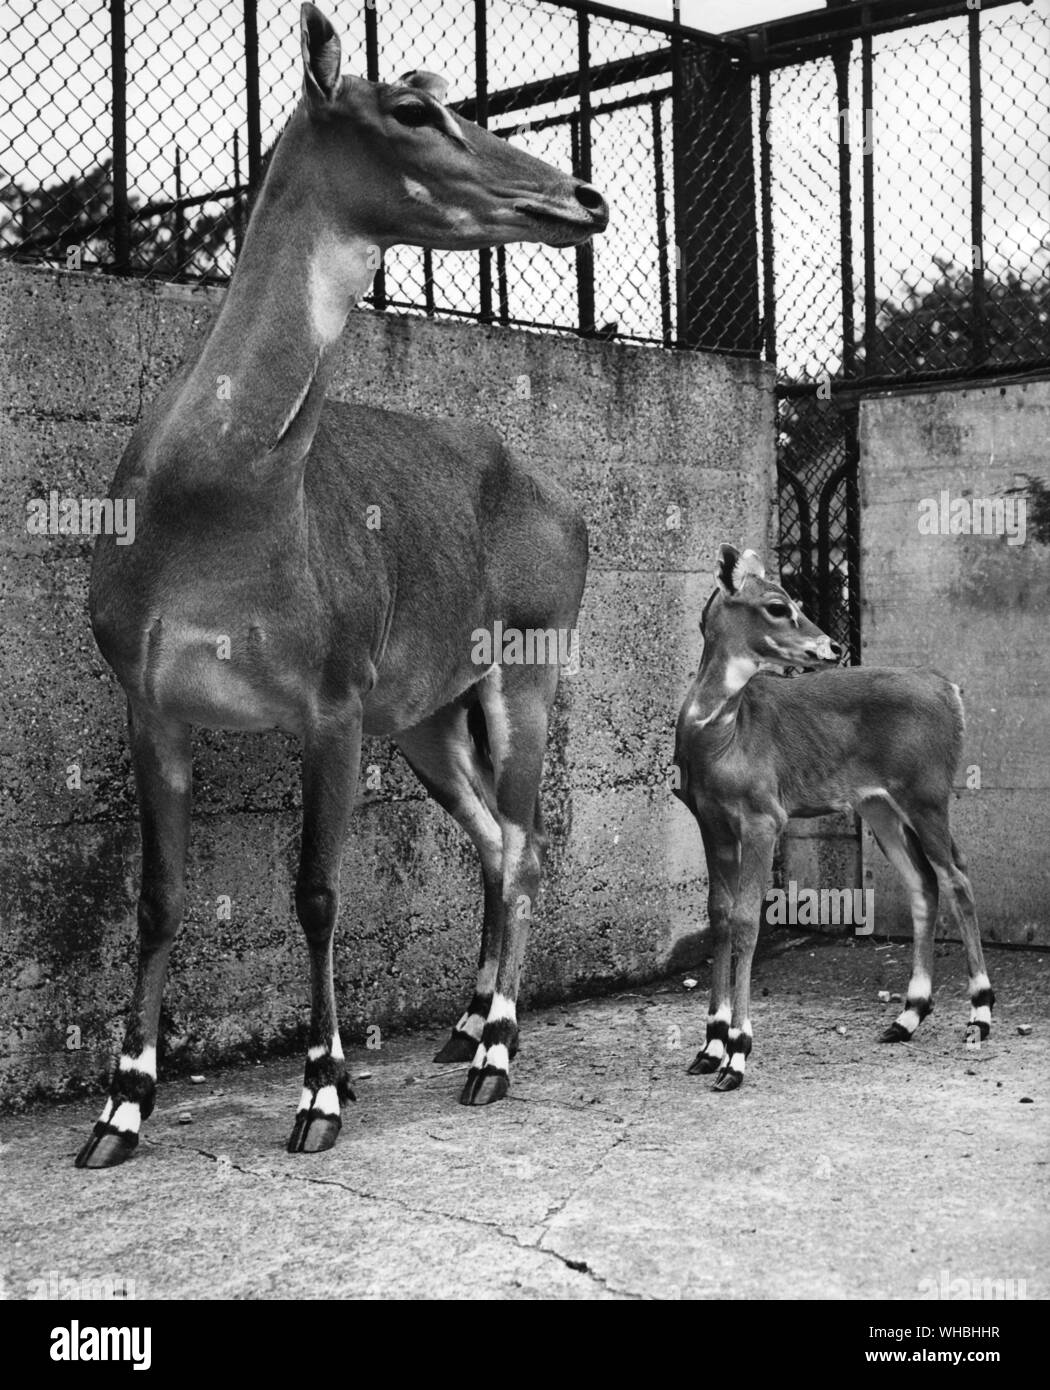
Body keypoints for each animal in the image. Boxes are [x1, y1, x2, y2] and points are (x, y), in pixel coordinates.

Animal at [76, 5, 609, 1167]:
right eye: (412, 108)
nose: (583, 199)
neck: (217, 494)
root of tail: (569, 503)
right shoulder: (154, 705)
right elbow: (160, 897)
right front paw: (120, 1107)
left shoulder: (330, 706)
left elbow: (317, 891)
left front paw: (321, 1089)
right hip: (425, 718)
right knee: (492, 842)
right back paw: (462, 1028)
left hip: (527, 675)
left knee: (525, 847)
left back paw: (497, 1053)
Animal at [673, 547, 995, 1089]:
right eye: (777, 606)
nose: (833, 645)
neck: (720, 734)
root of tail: (951, 689)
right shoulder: (709, 821)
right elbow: (720, 914)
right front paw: (709, 1046)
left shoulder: (764, 818)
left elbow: (746, 920)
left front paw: (737, 1054)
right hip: (880, 807)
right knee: (924, 882)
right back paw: (906, 1017)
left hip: (927, 796)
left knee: (958, 876)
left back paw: (980, 1015)